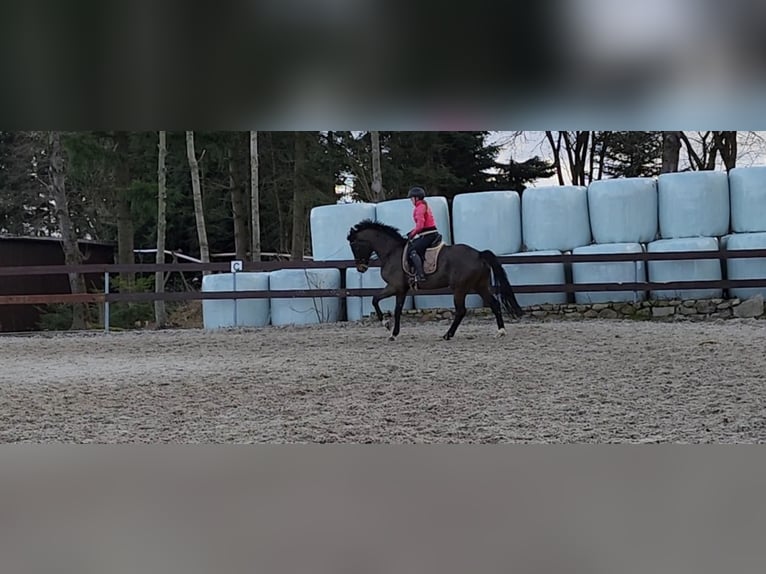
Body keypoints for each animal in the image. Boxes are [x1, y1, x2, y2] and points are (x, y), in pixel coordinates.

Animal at [350, 218, 524, 340]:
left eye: (355, 245)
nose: (361, 268)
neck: (391, 252)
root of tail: (479, 254)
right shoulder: (401, 290)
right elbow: (396, 309)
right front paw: (393, 333)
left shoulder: (394, 286)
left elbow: (375, 300)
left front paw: (386, 325)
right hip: (480, 286)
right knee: (494, 305)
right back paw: (501, 331)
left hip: (460, 288)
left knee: (461, 311)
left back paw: (448, 335)